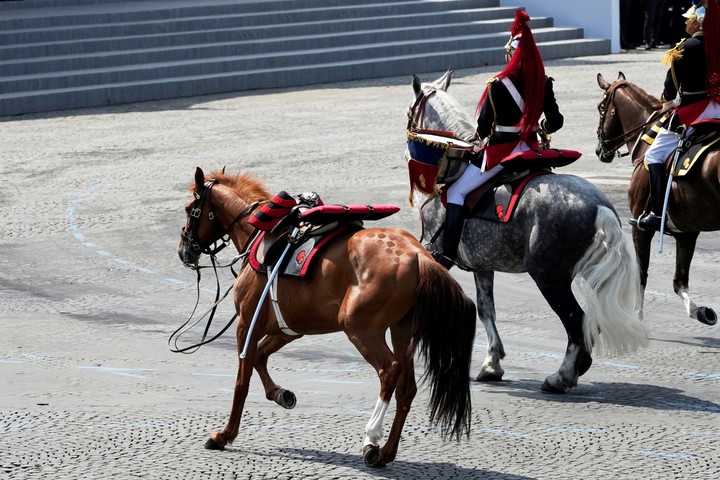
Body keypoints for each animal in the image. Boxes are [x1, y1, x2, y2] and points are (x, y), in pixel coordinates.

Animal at [177, 167, 478, 467]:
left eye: (190, 209)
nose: (183, 250)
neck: (260, 234)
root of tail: (417, 254)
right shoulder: (288, 328)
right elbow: (261, 357)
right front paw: (281, 394)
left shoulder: (246, 324)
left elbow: (242, 380)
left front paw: (224, 435)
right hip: (402, 332)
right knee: (407, 387)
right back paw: (387, 451)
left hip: (360, 329)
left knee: (389, 370)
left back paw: (371, 438)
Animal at [407, 71, 649, 393]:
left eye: (409, 111)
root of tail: (600, 205)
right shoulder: (482, 266)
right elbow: (486, 309)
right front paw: (492, 363)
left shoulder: (436, 253)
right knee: (589, 322)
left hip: (549, 278)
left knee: (576, 320)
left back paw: (562, 376)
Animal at [596, 72, 719, 326]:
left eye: (601, 108)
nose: (599, 150)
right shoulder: (686, 232)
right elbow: (679, 282)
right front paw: (700, 311)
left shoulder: (639, 227)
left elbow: (640, 274)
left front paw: (636, 317)